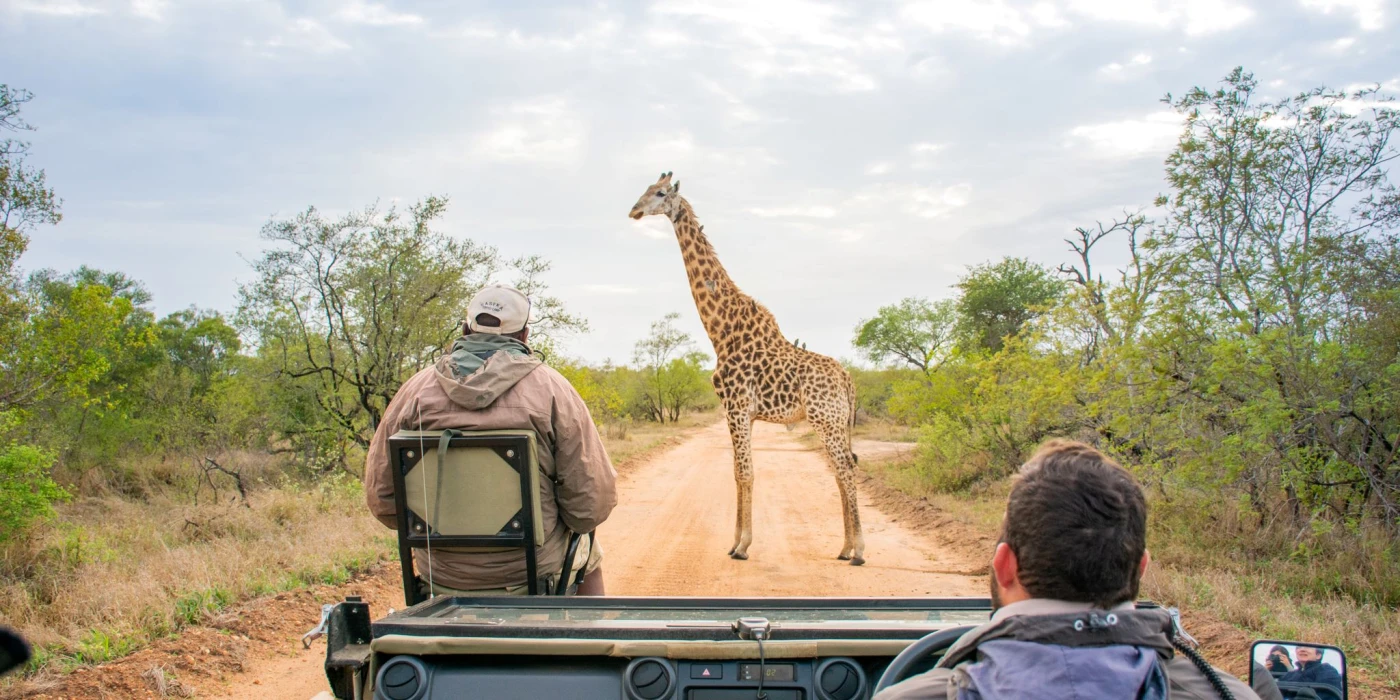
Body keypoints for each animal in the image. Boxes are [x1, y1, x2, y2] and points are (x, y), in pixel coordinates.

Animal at [624, 172, 862, 565]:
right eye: (643, 189)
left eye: (658, 193)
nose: (634, 211)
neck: (722, 332)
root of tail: (847, 379)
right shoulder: (741, 413)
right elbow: (737, 473)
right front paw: (735, 541)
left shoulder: (735, 408)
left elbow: (746, 473)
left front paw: (743, 546)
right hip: (838, 422)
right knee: (842, 470)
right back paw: (844, 548)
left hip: (826, 420)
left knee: (845, 468)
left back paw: (858, 550)